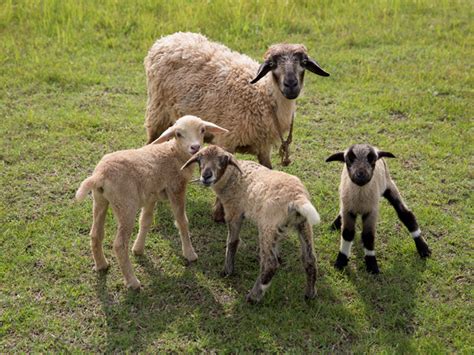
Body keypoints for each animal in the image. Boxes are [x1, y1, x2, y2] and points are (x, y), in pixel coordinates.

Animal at [75, 116, 228, 290]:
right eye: (178, 134)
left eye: (202, 130)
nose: (195, 147)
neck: (174, 153)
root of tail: (99, 175)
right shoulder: (176, 188)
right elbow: (182, 221)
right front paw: (189, 253)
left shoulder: (151, 196)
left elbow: (146, 221)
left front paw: (138, 249)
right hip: (126, 205)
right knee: (119, 245)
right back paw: (132, 282)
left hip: (100, 200)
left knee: (95, 234)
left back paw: (101, 265)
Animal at [144, 31, 330, 169]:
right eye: (272, 64)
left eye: (303, 62)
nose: (291, 85)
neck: (262, 96)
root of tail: (167, 39)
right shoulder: (227, 141)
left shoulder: (264, 147)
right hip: (158, 111)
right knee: (152, 141)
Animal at [181, 145, 322, 304]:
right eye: (200, 159)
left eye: (222, 161)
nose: (206, 176)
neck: (232, 175)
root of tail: (297, 197)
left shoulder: (234, 212)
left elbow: (232, 242)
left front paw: (228, 270)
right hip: (303, 224)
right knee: (310, 259)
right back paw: (310, 293)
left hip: (268, 225)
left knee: (270, 264)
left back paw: (253, 296)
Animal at [326, 143, 434, 274]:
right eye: (349, 160)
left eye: (372, 159)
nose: (361, 174)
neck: (360, 199)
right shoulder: (348, 210)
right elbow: (347, 233)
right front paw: (341, 261)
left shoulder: (371, 212)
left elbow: (368, 236)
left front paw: (372, 265)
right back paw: (335, 224)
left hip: (389, 185)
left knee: (406, 215)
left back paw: (423, 249)